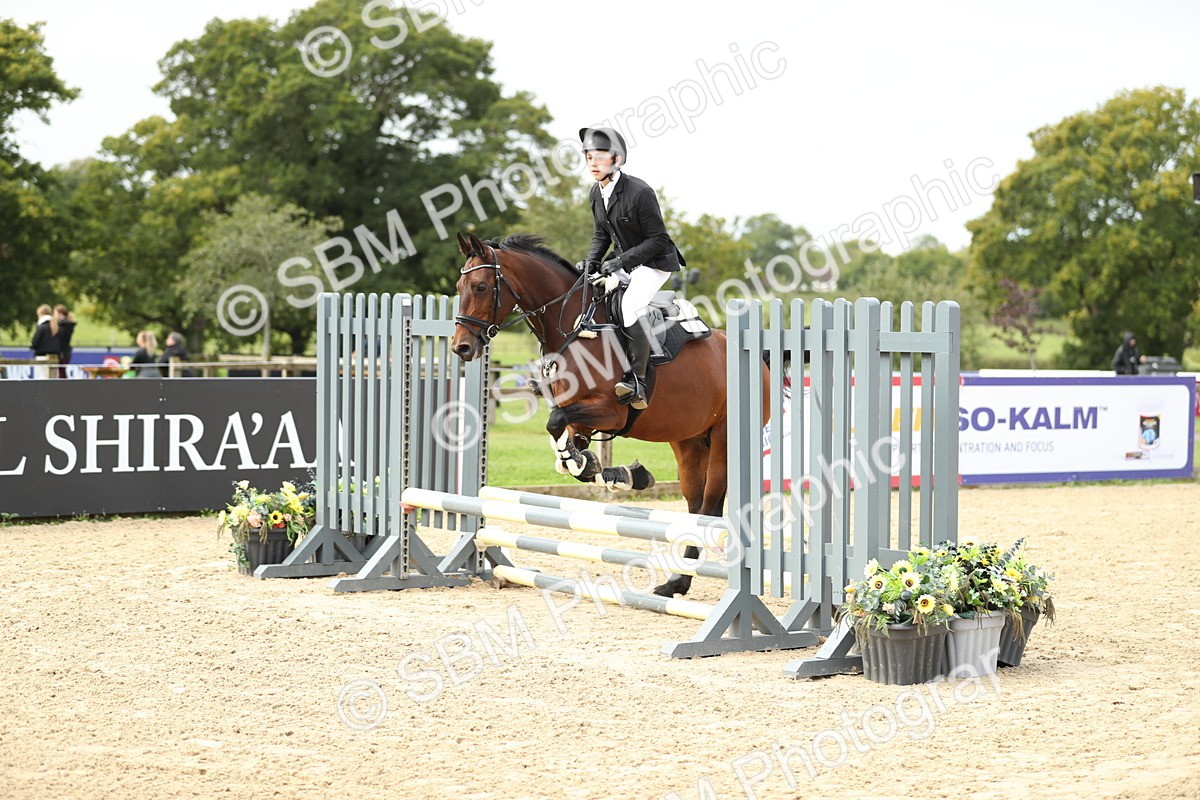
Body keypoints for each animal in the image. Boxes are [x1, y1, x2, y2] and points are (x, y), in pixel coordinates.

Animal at [452, 231, 767, 598]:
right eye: (459, 287)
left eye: (481, 287)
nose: (461, 348)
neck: (574, 328)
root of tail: (759, 359)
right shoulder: (579, 416)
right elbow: (564, 445)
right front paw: (617, 472)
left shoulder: (610, 412)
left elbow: (555, 424)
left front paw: (608, 470)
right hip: (688, 441)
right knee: (695, 503)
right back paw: (675, 582)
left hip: (723, 440)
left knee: (710, 507)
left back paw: (681, 580)